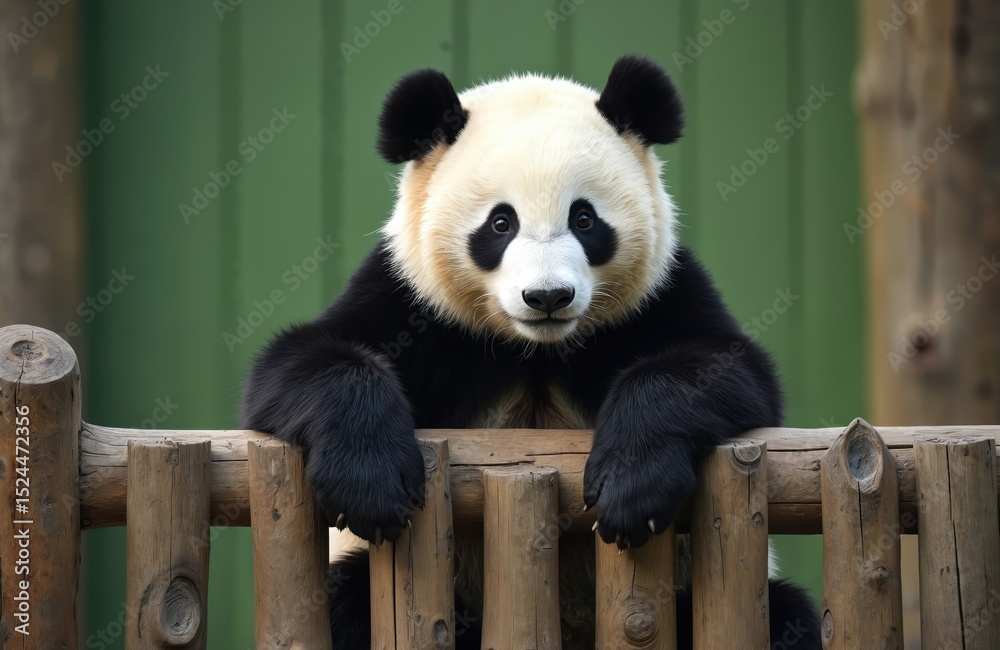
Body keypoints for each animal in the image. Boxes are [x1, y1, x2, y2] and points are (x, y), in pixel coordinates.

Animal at [242, 55, 821, 649]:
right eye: (501, 223)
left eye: (584, 219)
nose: (548, 297)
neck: (537, 349)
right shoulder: (411, 299)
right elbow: (295, 366)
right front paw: (370, 485)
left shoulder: (658, 294)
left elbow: (732, 371)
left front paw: (632, 488)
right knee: (347, 602)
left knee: (788, 616)